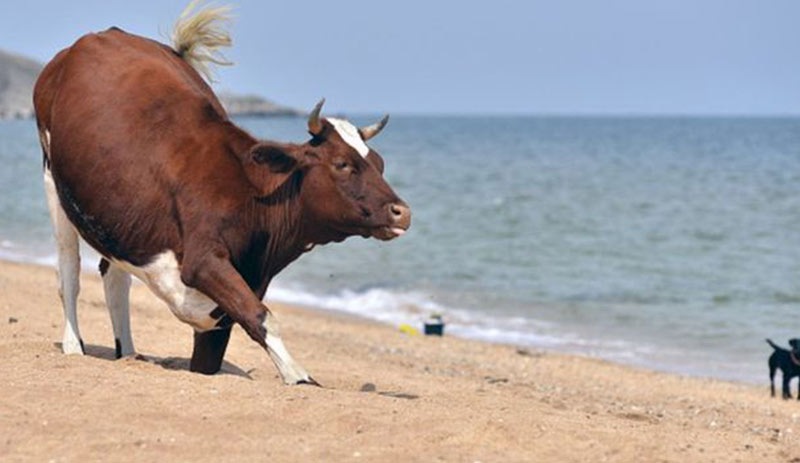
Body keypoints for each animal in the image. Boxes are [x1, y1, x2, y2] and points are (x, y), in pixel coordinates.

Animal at [31, 3, 410, 386]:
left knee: (114, 275)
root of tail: (100, 36)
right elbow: (261, 317)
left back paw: (129, 353)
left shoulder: (219, 314)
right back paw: (73, 345)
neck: (248, 195)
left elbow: (217, 351)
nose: (402, 211)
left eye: (379, 163)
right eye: (342, 164)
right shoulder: (203, 262)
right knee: (69, 272)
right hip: (53, 180)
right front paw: (300, 376)